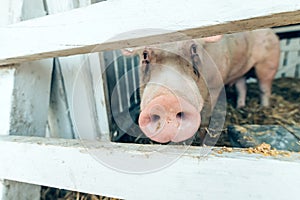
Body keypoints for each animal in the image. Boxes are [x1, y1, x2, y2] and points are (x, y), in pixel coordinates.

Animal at [122, 28, 278, 144]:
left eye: (194, 48)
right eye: (145, 54)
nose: (168, 101)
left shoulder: (215, 86)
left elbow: (205, 119)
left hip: (269, 61)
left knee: (264, 87)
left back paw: (264, 107)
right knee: (242, 86)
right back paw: (240, 106)